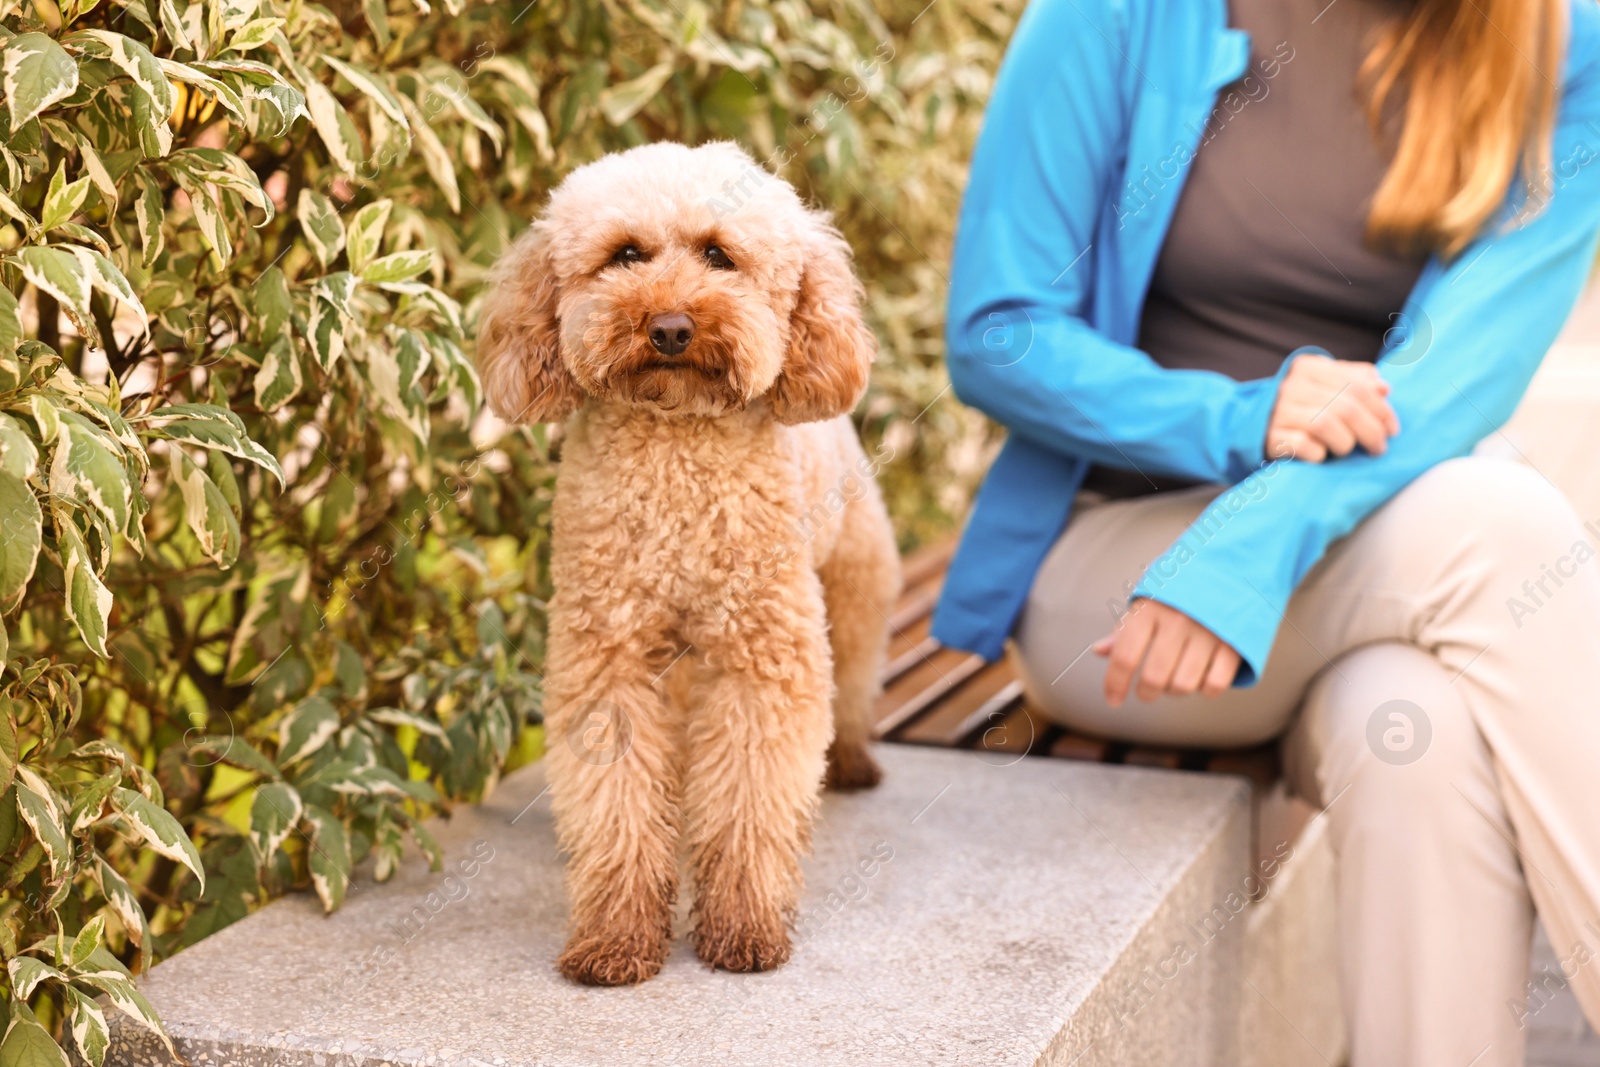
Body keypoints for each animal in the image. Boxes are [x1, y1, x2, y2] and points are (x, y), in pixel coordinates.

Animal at [470, 141, 902, 985]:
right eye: (626, 255)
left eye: (719, 255)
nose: (669, 327)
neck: (676, 450)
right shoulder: (612, 658)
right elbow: (619, 801)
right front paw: (616, 937)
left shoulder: (759, 656)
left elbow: (748, 797)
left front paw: (744, 928)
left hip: (854, 586)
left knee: (856, 679)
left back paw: (853, 758)